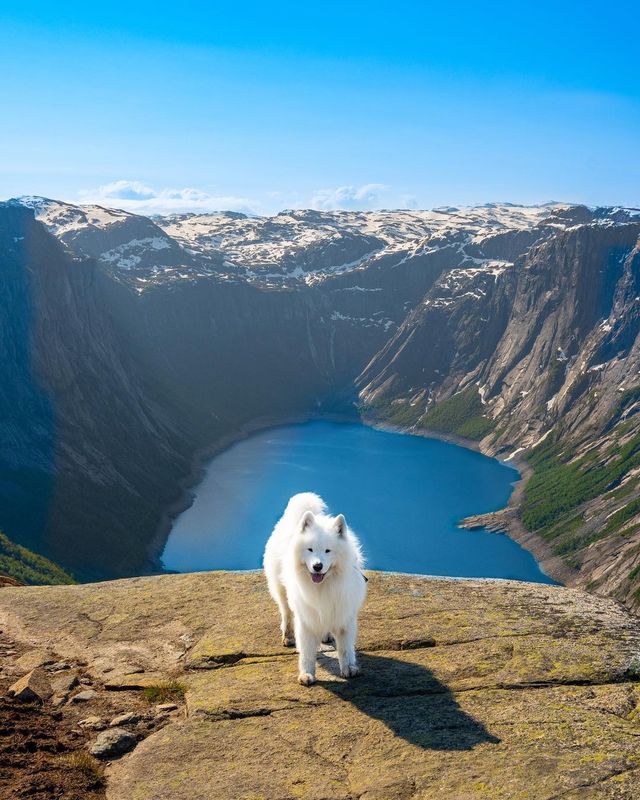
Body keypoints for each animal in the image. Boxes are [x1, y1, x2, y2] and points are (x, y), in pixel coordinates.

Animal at [264, 490, 364, 684]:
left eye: (327, 551)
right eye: (310, 549)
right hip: (281, 591)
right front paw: (306, 674)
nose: (318, 566)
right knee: (286, 613)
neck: (324, 587)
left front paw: (349, 668)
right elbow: (307, 652)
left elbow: (345, 648)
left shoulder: (344, 615)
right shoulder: (306, 618)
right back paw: (288, 636)